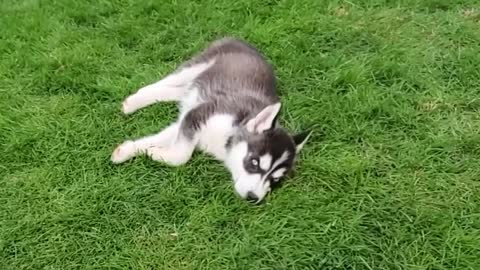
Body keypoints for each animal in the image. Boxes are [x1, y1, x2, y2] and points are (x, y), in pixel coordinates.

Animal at [110, 38, 310, 202]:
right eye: (254, 162)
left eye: (275, 180)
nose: (253, 198)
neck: (228, 138)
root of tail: (242, 40)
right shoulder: (201, 114)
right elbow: (182, 155)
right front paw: (155, 153)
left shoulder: (189, 118)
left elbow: (159, 138)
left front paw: (132, 150)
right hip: (196, 65)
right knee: (164, 82)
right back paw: (134, 101)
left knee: (178, 91)